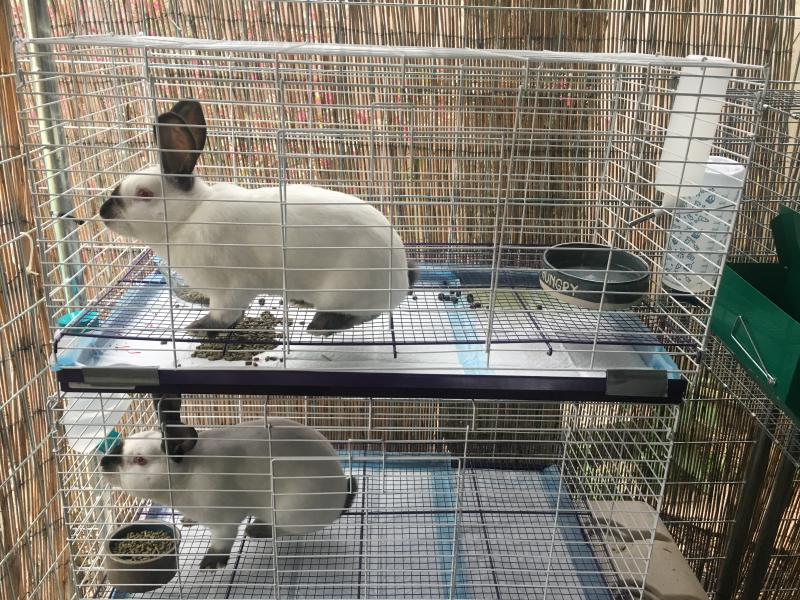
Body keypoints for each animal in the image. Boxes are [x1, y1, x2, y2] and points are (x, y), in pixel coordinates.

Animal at [99, 99, 418, 336]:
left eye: (144, 194)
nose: (103, 213)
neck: (188, 217)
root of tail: (400, 277)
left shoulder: (230, 286)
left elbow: (223, 315)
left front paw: (198, 327)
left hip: (348, 288)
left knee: (364, 313)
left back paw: (320, 324)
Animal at [100, 418, 357, 569]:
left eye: (140, 460)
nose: (103, 463)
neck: (187, 475)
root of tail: (339, 494)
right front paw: (187, 520)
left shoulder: (223, 520)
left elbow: (222, 542)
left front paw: (210, 562)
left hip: (289, 513)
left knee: (285, 529)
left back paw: (257, 529)